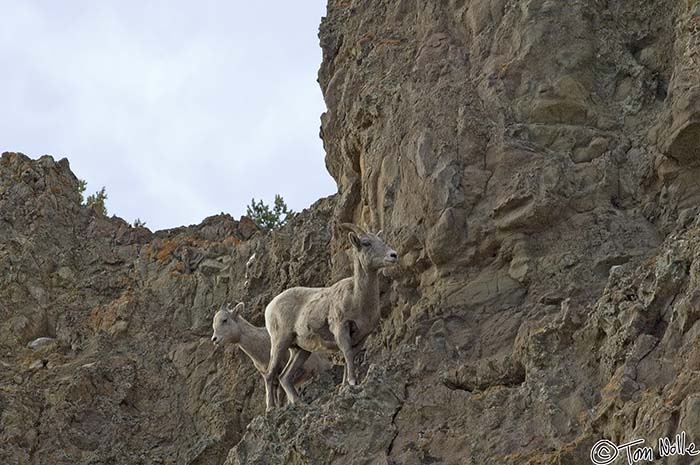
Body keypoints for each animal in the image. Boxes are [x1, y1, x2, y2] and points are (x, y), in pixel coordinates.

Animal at [262, 224, 396, 410]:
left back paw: (299, 402)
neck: (357, 299)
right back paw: (271, 408)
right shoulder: (341, 329)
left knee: (284, 376)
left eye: (381, 241)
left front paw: (346, 385)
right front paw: (352, 382)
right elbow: (347, 354)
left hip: (301, 350)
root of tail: (270, 307)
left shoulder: (361, 336)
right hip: (280, 342)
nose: (393, 255)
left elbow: (350, 357)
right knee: (270, 374)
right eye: (366, 243)